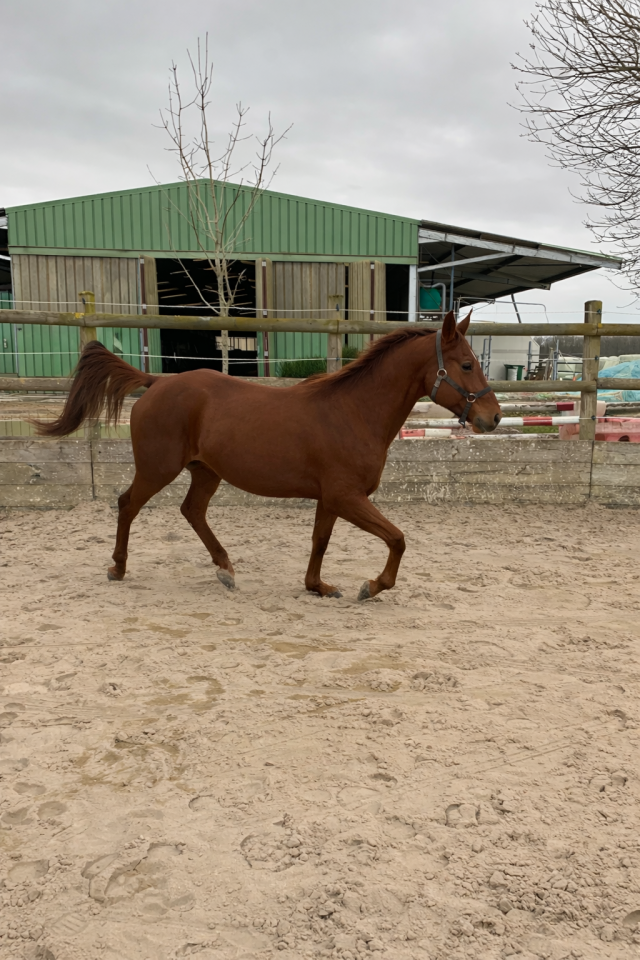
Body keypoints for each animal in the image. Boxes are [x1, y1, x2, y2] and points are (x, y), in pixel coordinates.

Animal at [34, 310, 501, 600]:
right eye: (465, 364)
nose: (493, 417)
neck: (353, 412)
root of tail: (157, 381)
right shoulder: (347, 496)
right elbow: (398, 539)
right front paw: (371, 586)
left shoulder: (331, 499)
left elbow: (320, 541)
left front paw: (319, 586)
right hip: (157, 468)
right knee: (127, 504)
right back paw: (117, 569)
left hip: (205, 471)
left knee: (192, 511)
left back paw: (225, 569)